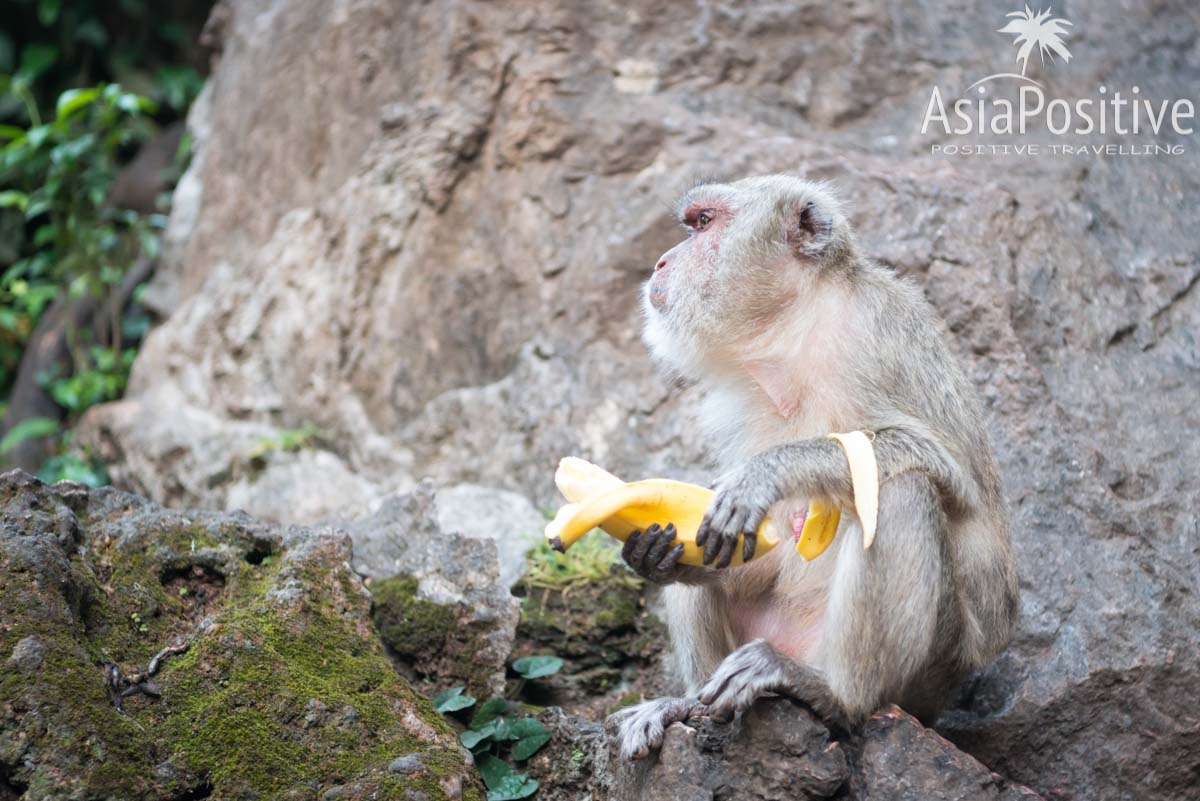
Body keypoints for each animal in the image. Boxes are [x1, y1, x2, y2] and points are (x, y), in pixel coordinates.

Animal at [614, 173, 1017, 757]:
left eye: (704, 223)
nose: (662, 262)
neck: (796, 330)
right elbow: (745, 540)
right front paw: (663, 555)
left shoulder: (879, 336)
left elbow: (943, 468)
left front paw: (769, 473)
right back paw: (688, 702)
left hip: (932, 673)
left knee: (900, 491)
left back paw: (835, 694)